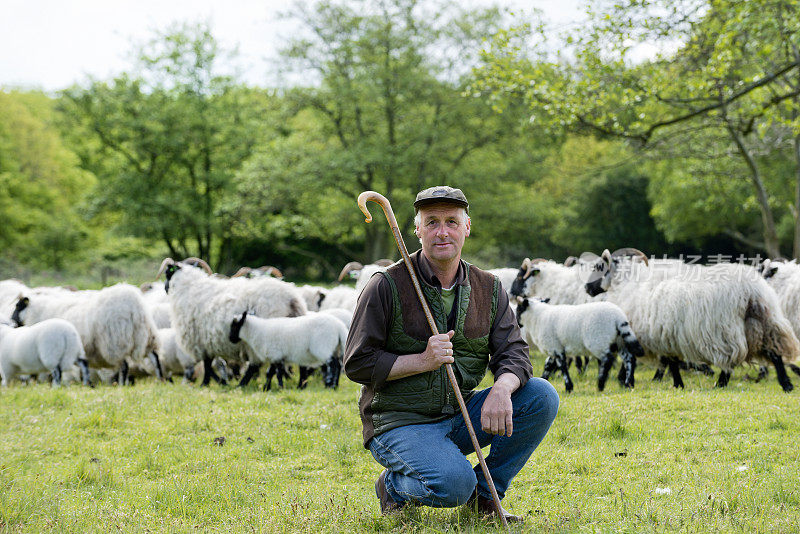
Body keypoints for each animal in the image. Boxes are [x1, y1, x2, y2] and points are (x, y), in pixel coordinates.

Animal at [11, 284, 162, 386]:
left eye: (18, 306)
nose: (12, 321)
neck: (38, 312)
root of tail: (134, 304)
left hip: (115, 341)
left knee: (124, 365)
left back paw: (121, 384)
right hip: (146, 335)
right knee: (155, 357)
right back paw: (162, 380)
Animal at [155, 258, 306, 388]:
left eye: (167, 273)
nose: (165, 289)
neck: (188, 287)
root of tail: (291, 298)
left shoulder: (200, 341)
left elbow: (207, 365)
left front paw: (209, 383)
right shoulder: (206, 341)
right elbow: (210, 364)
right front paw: (219, 381)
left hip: (267, 335)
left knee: (257, 365)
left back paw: (245, 384)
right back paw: (300, 384)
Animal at [580, 249, 800, 392]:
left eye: (599, 266)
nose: (586, 288)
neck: (628, 284)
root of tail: (751, 291)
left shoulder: (648, 333)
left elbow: (641, 359)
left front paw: (627, 381)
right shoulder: (665, 334)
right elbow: (670, 361)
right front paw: (675, 383)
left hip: (724, 330)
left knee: (730, 360)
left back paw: (720, 383)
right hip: (763, 324)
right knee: (775, 354)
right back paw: (786, 384)